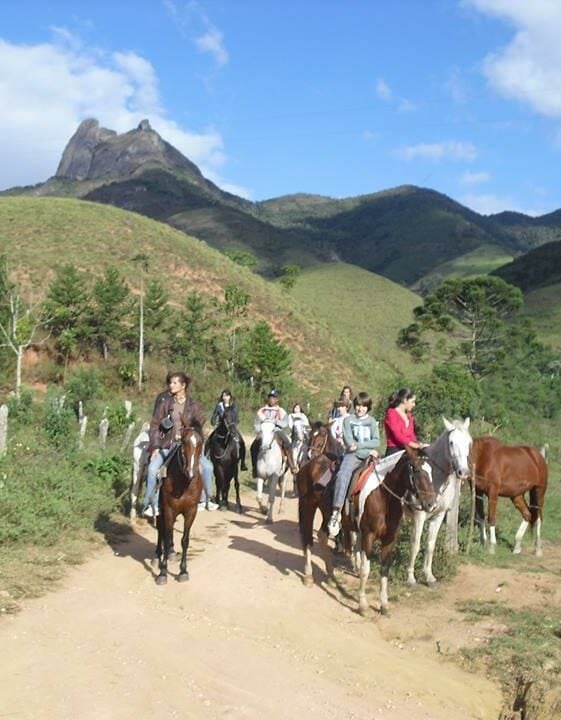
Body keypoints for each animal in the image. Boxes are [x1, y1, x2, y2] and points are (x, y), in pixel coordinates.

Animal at [153, 428, 203, 584]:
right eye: (184, 442)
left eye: (201, 443)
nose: (190, 472)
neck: (183, 484)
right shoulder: (169, 509)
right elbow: (166, 536)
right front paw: (163, 573)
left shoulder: (191, 512)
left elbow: (185, 541)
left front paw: (183, 571)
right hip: (161, 510)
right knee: (161, 530)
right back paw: (157, 556)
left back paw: (171, 552)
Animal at [354, 448, 438, 616]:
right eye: (417, 471)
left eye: (431, 471)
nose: (432, 505)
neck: (383, 497)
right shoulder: (369, 536)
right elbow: (366, 570)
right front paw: (362, 605)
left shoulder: (389, 539)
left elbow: (384, 569)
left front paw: (384, 605)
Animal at [402, 416, 472, 584]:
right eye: (451, 442)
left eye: (469, 442)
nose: (463, 472)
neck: (434, 477)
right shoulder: (419, 516)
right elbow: (416, 544)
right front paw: (410, 577)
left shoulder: (438, 516)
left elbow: (430, 545)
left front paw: (429, 576)